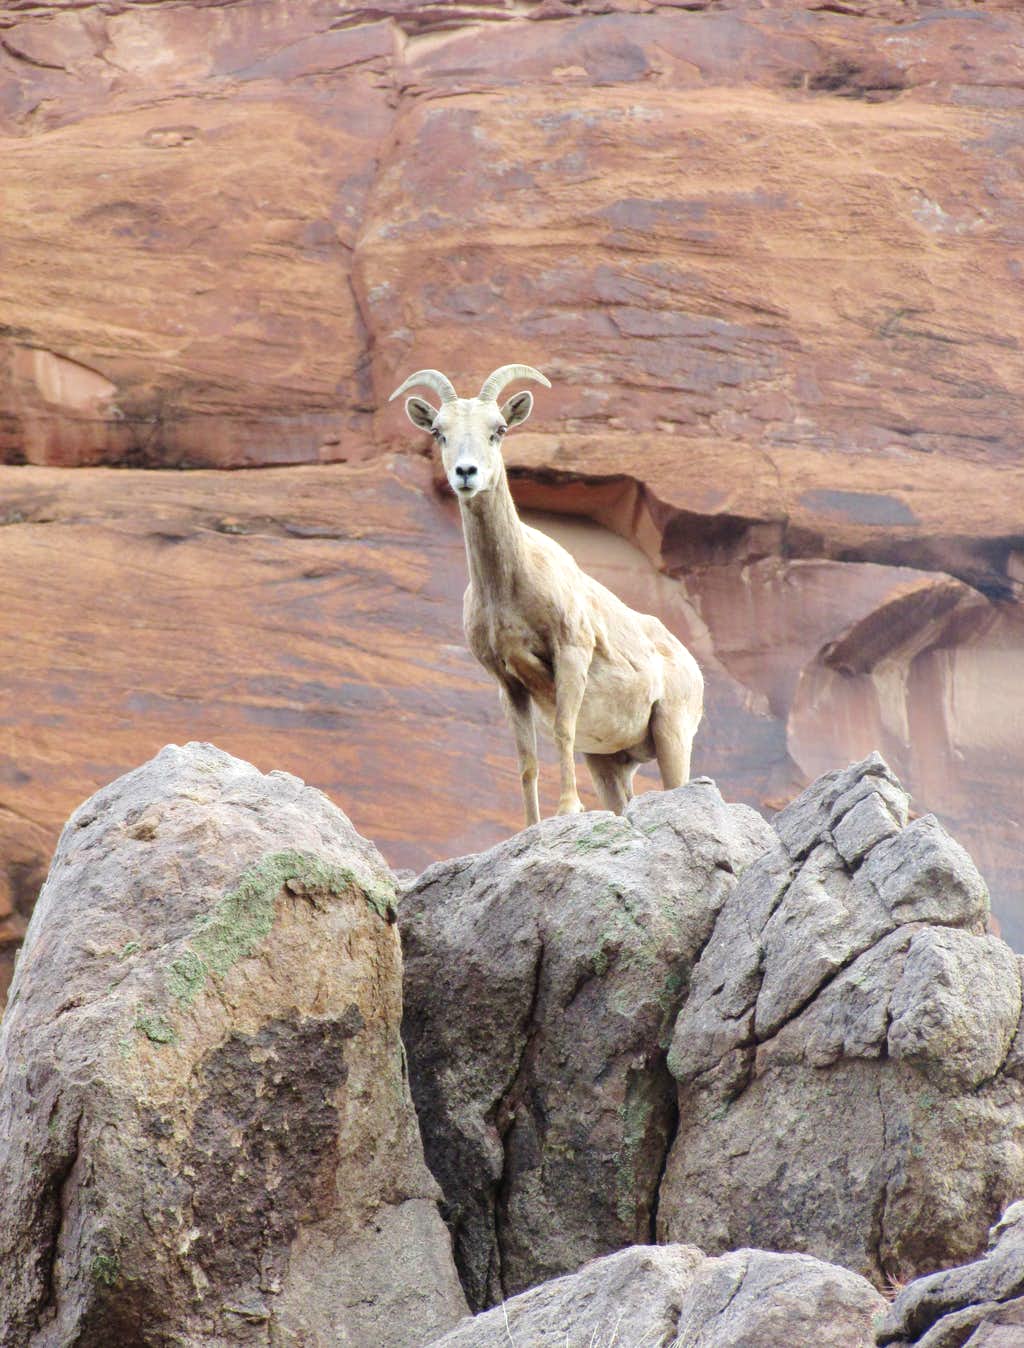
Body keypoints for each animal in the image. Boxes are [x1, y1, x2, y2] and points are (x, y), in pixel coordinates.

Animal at [389, 364, 704, 825]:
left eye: (498, 430)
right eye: (438, 432)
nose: (466, 473)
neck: (509, 589)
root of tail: (692, 666)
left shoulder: (570, 654)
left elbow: (562, 731)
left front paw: (568, 809)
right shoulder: (508, 682)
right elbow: (527, 760)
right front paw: (532, 825)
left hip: (671, 734)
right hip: (609, 762)